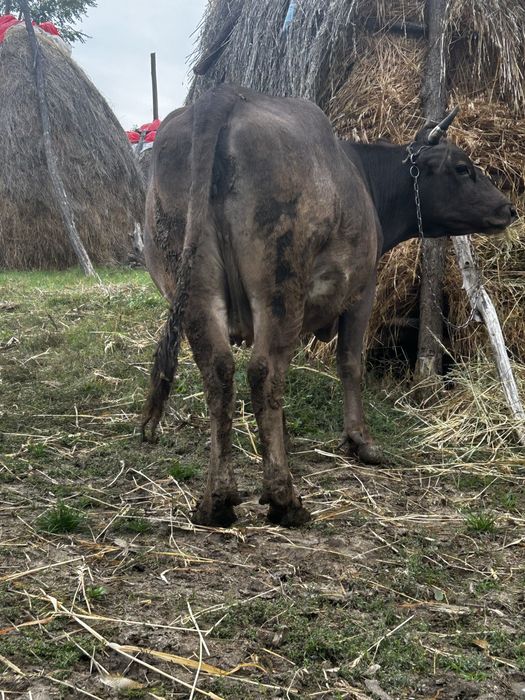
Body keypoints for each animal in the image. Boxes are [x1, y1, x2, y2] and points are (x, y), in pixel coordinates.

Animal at [140, 85, 516, 528]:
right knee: (264, 372)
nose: (508, 208)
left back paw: (217, 500)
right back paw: (284, 500)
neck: (363, 174)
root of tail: (225, 96)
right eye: (462, 168)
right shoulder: (362, 290)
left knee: (220, 373)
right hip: (281, 283)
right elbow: (350, 364)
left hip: (193, 285)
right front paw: (360, 441)